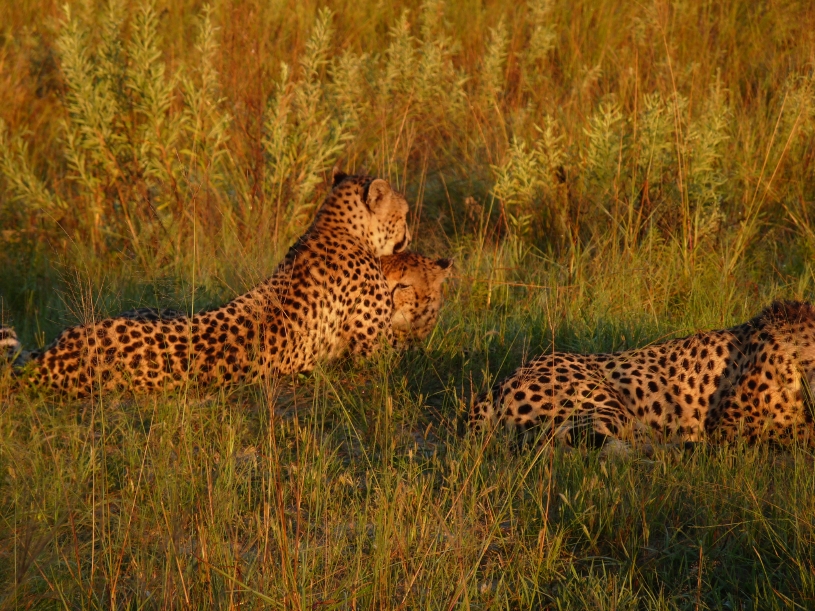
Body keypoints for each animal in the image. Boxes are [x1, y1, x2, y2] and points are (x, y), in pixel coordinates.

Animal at [2, 169, 414, 396]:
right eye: (405, 214)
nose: (411, 233)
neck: (335, 226)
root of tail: (57, 351)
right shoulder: (373, 350)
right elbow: (405, 351)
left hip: (159, 308)